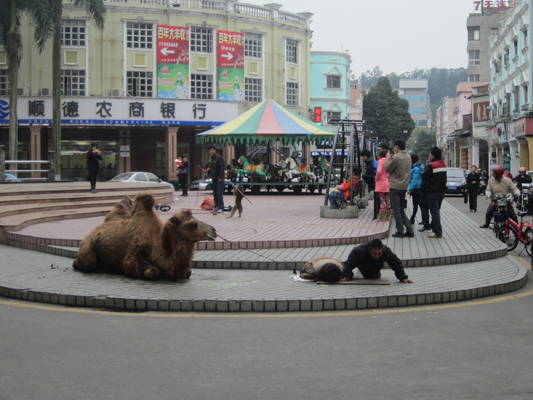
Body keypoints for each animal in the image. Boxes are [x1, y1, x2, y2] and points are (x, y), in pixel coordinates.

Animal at [72, 194, 216, 282]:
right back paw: (101, 267)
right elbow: (152, 271)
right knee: (85, 263)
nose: (213, 231)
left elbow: (187, 273)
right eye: (193, 224)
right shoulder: (132, 255)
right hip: (88, 250)